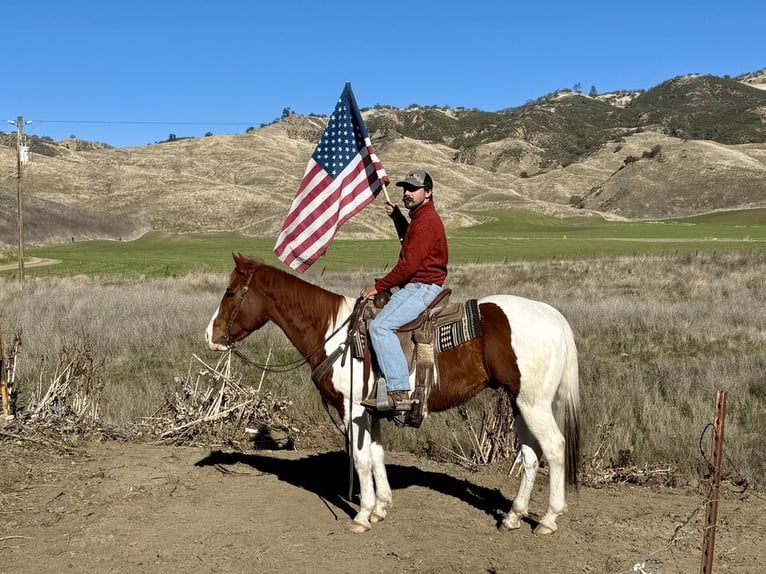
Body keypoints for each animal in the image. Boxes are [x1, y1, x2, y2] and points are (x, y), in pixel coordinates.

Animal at [205, 253, 580, 535]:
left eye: (231, 293)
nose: (210, 336)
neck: (333, 333)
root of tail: (554, 316)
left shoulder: (353, 409)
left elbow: (361, 459)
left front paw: (362, 514)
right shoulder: (372, 410)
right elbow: (376, 454)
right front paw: (381, 507)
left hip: (534, 404)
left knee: (554, 448)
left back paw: (548, 519)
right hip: (520, 403)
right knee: (530, 455)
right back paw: (513, 516)